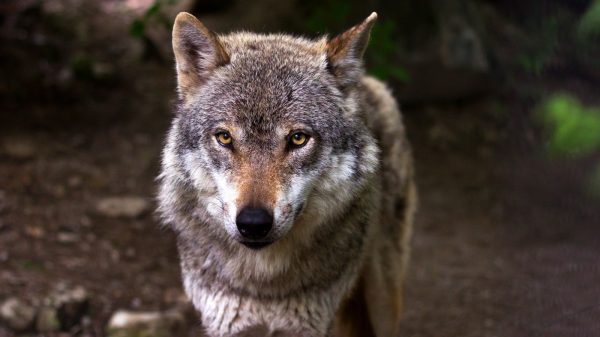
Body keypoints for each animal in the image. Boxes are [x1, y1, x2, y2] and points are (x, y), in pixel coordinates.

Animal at [157, 10, 414, 336]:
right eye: (225, 138)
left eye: (298, 139)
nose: (253, 223)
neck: (264, 285)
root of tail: (366, 82)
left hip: (383, 301)